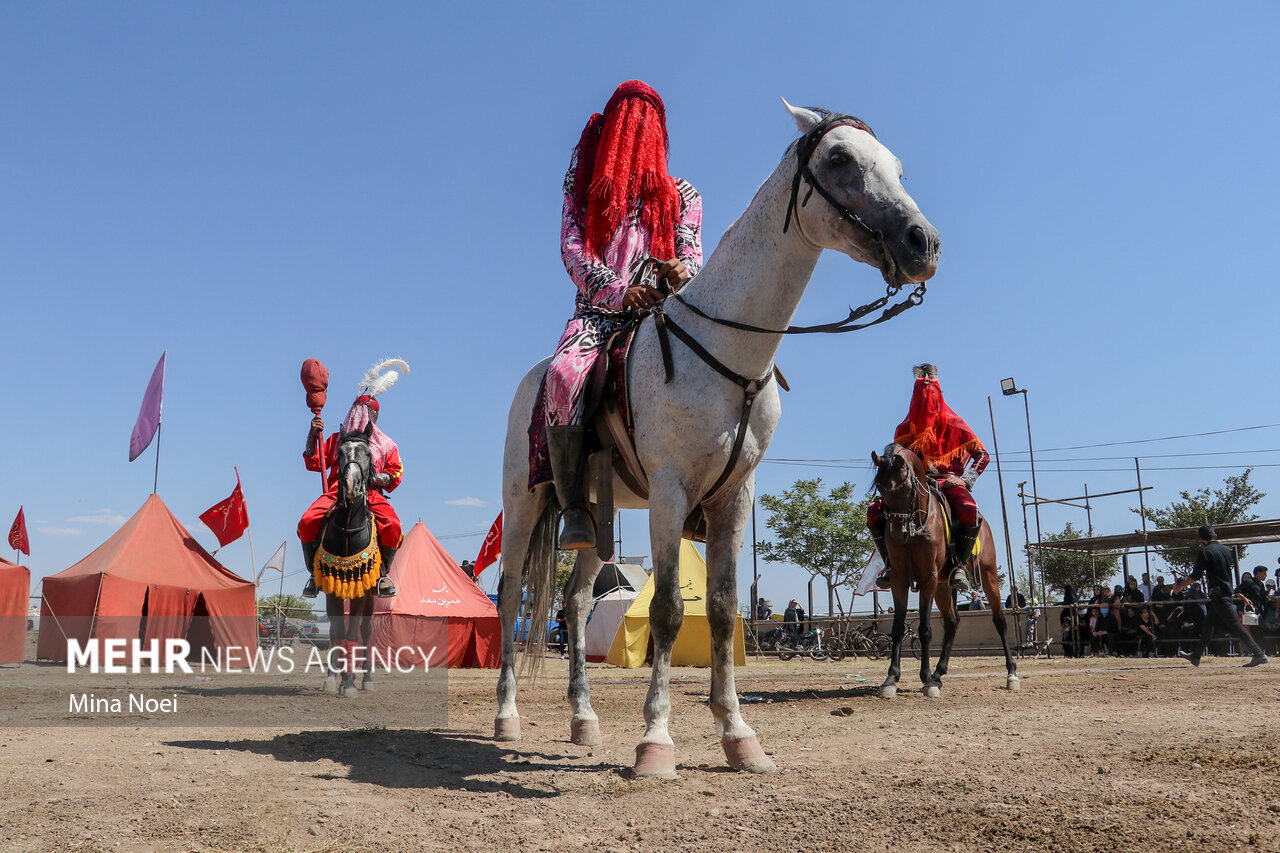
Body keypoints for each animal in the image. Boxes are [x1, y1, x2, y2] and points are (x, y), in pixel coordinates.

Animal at [488, 99, 942, 778]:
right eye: (839, 158)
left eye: (897, 166)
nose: (923, 242)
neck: (728, 354)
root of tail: (534, 378)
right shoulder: (671, 491)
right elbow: (669, 611)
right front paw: (655, 742)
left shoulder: (734, 496)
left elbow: (727, 611)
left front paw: (738, 736)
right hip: (524, 503)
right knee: (512, 591)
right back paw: (507, 715)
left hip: (594, 514)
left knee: (574, 600)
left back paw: (583, 720)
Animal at [870, 440, 1018, 696]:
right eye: (880, 488)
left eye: (906, 487)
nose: (898, 534)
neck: (916, 524)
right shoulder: (900, 579)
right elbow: (898, 628)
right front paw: (891, 679)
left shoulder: (928, 578)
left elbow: (925, 629)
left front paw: (926, 680)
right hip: (942, 586)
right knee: (951, 621)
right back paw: (939, 673)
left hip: (987, 575)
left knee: (999, 620)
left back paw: (1011, 673)